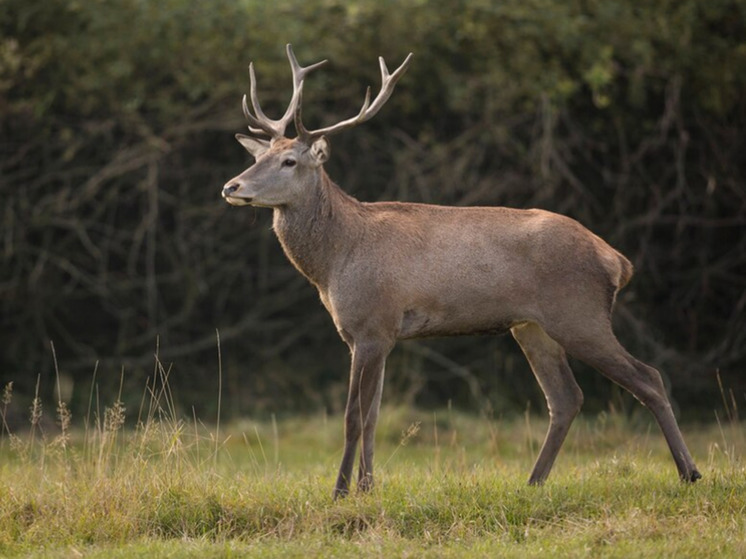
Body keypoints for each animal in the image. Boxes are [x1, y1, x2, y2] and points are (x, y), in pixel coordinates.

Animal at [221, 43, 696, 498]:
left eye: (290, 162)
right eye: (261, 156)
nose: (231, 186)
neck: (336, 262)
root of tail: (617, 260)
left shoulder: (372, 324)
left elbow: (353, 416)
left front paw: (339, 492)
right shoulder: (374, 334)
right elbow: (374, 415)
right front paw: (368, 488)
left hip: (579, 314)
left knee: (648, 377)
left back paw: (688, 473)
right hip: (532, 327)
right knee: (566, 397)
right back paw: (533, 482)